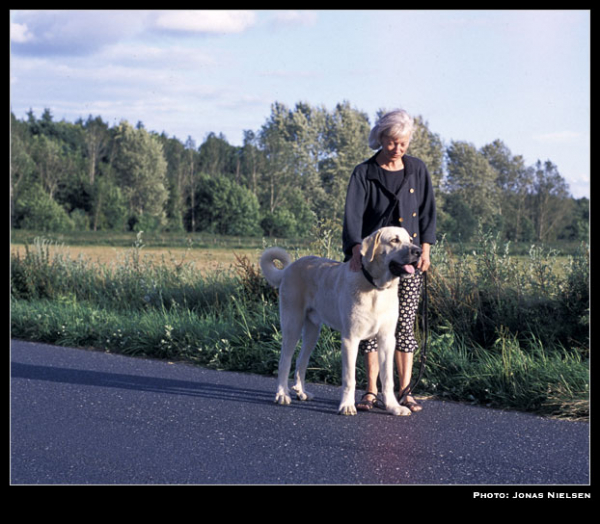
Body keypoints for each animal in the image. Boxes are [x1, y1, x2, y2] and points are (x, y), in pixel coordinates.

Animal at [262, 227, 422, 416]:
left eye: (410, 240)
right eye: (394, 240)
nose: (419, 251)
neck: (376, 288)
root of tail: (289, 267)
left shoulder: (387, 340)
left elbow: (387, 377)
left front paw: (393, 406)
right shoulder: (350, 340)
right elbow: (349, 378)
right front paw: (347, 405)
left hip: (312, 332)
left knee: (301, 361)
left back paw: (301, 392)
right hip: (292, 325)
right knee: (284, 361)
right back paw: (282, 394)